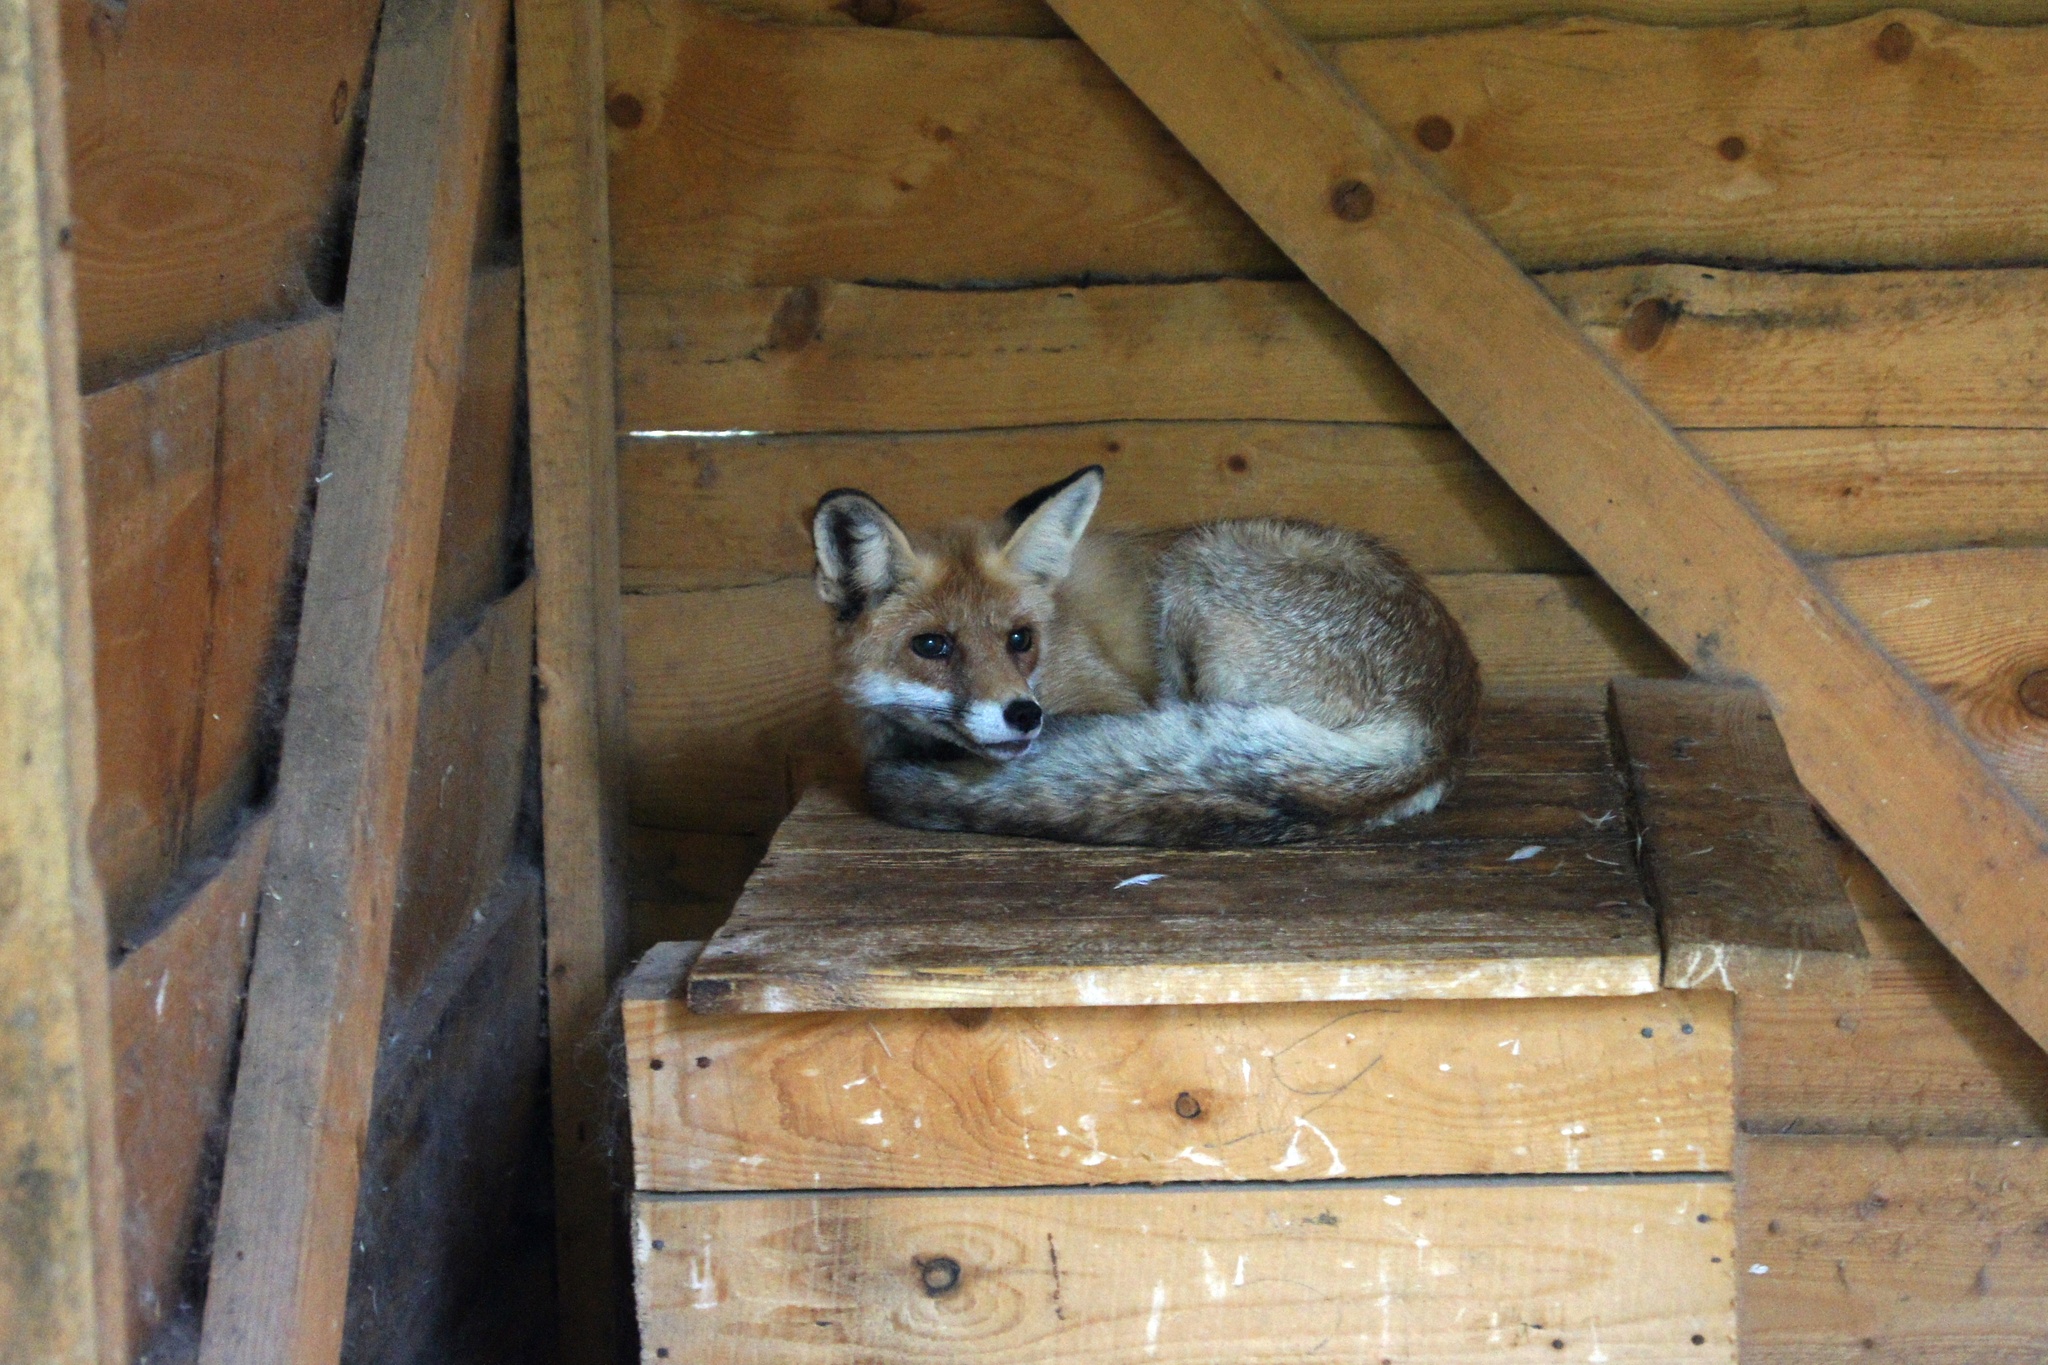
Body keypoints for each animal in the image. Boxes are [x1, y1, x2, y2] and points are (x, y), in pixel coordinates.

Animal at [806, 474, 1482, 847]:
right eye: (932, 646)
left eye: (1021, 639)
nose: (1025, 715)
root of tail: (1440, 727)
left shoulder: (1114, 698)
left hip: (1198, 568)